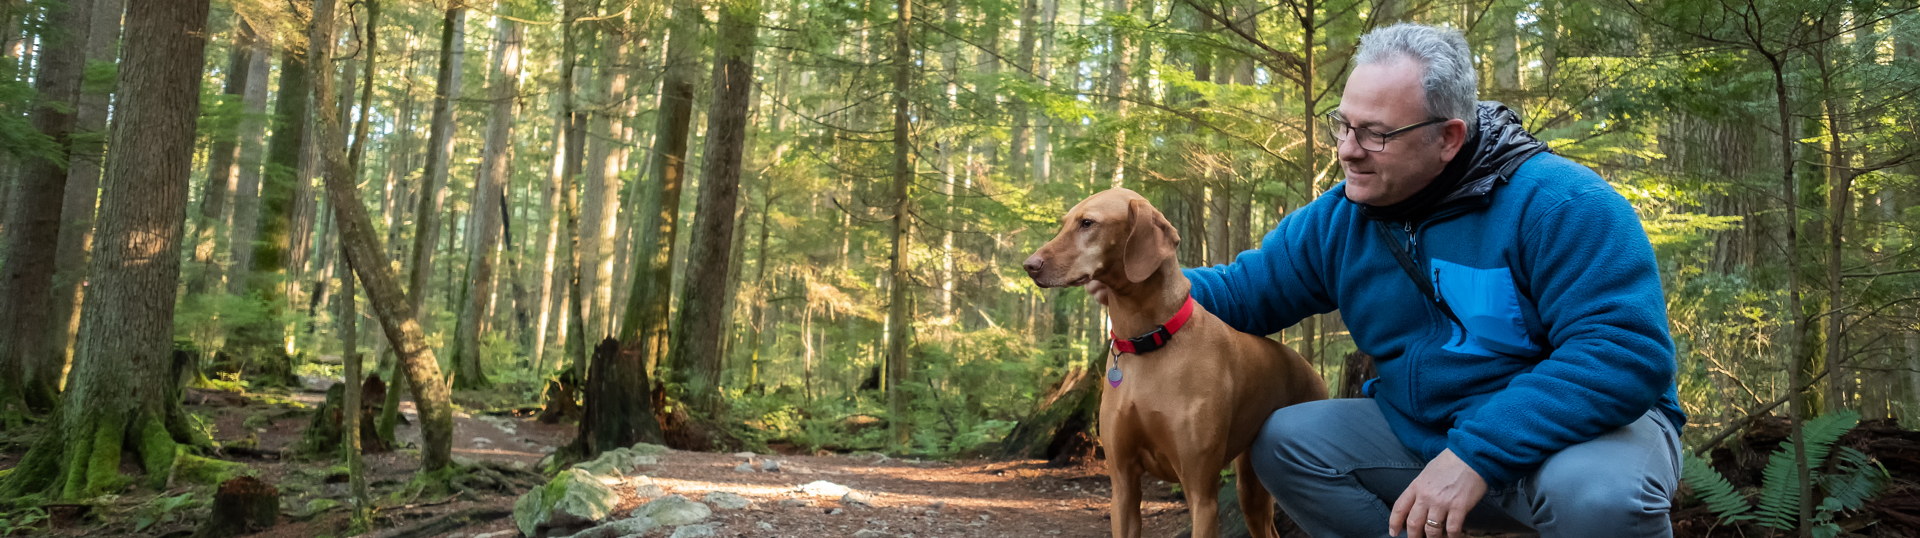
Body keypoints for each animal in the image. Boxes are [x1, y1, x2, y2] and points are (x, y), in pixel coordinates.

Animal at [1029, 188, 1328, 538]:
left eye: (1087, 223)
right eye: (1064, 223)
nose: (1029, 265)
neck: (1147, 343)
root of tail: (1310, 369)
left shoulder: (1201, 494)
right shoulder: (1123, 487)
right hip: (1251, 490)